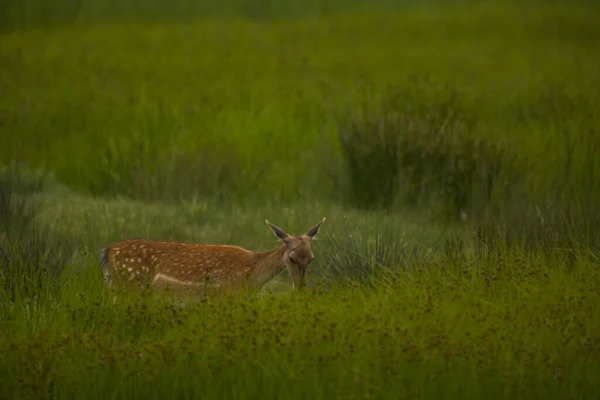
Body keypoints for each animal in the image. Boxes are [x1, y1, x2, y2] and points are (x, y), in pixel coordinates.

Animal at [98, 219, 326, 294]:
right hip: (130, 283)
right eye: (291, 258)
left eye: (312, 258)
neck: (253, 276)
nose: (300, 288)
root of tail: (107, 252)